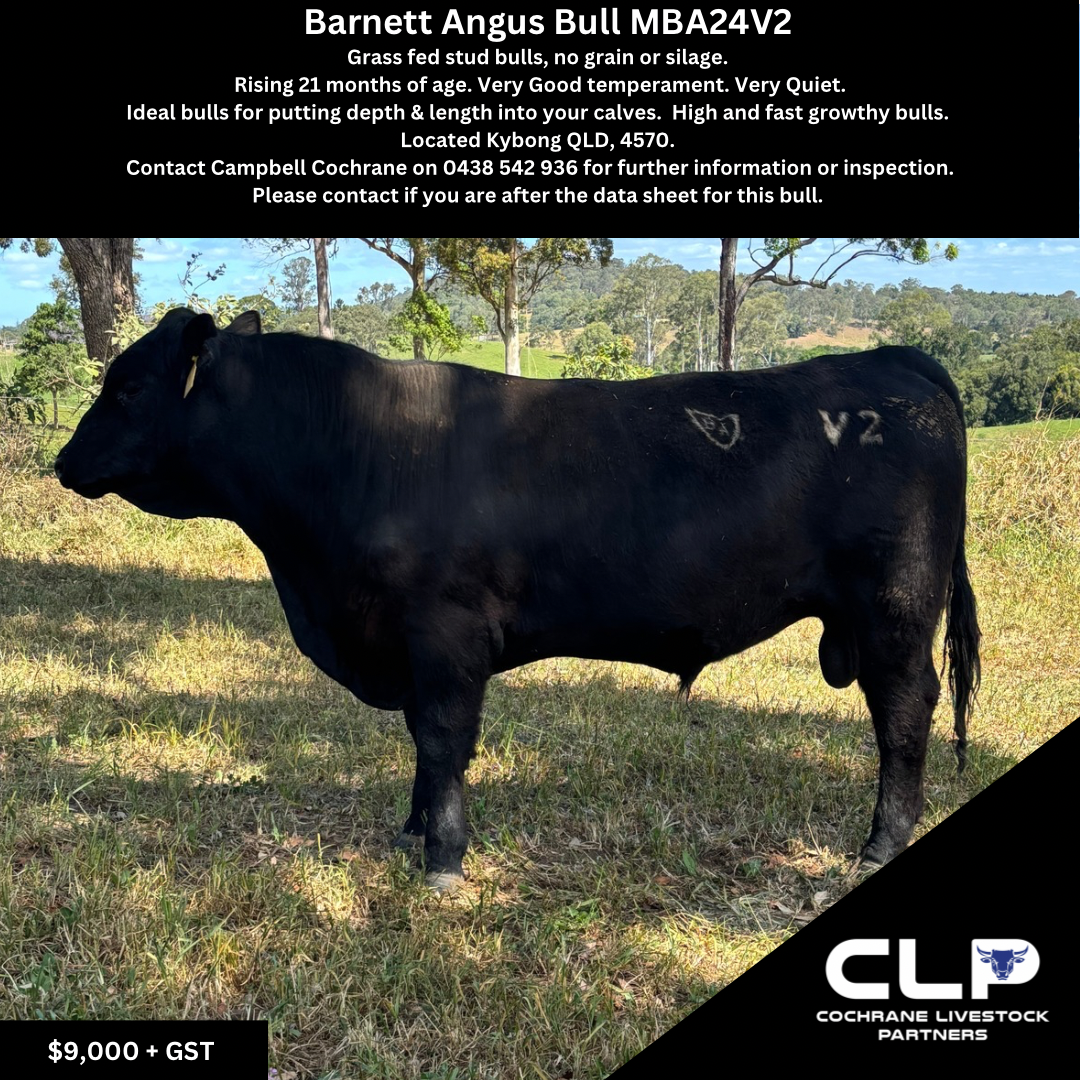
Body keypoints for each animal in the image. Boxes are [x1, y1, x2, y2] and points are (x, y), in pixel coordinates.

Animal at [54, 308, 981, 891]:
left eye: (126, 387)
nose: (63, 461)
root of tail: (892, 359)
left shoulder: (446, 634)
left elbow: (442, 740)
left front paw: (443, 861)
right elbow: (422, 745)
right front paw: (411, 833)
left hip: (895, 611)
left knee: (904, 717)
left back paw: (877, 845)